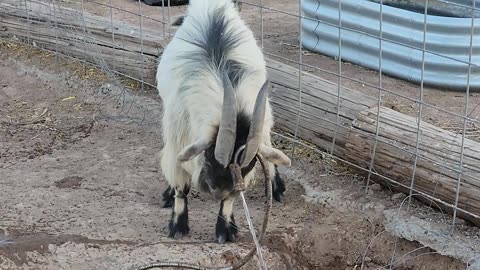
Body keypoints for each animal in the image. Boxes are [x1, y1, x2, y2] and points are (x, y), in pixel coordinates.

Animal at [158, 0, 292, 243]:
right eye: (210, 156)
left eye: (249, 165)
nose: (216, 191)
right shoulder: (178, 135)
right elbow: (180, 181)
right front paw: (178, 225)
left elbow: (233, 195)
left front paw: (226, 229)